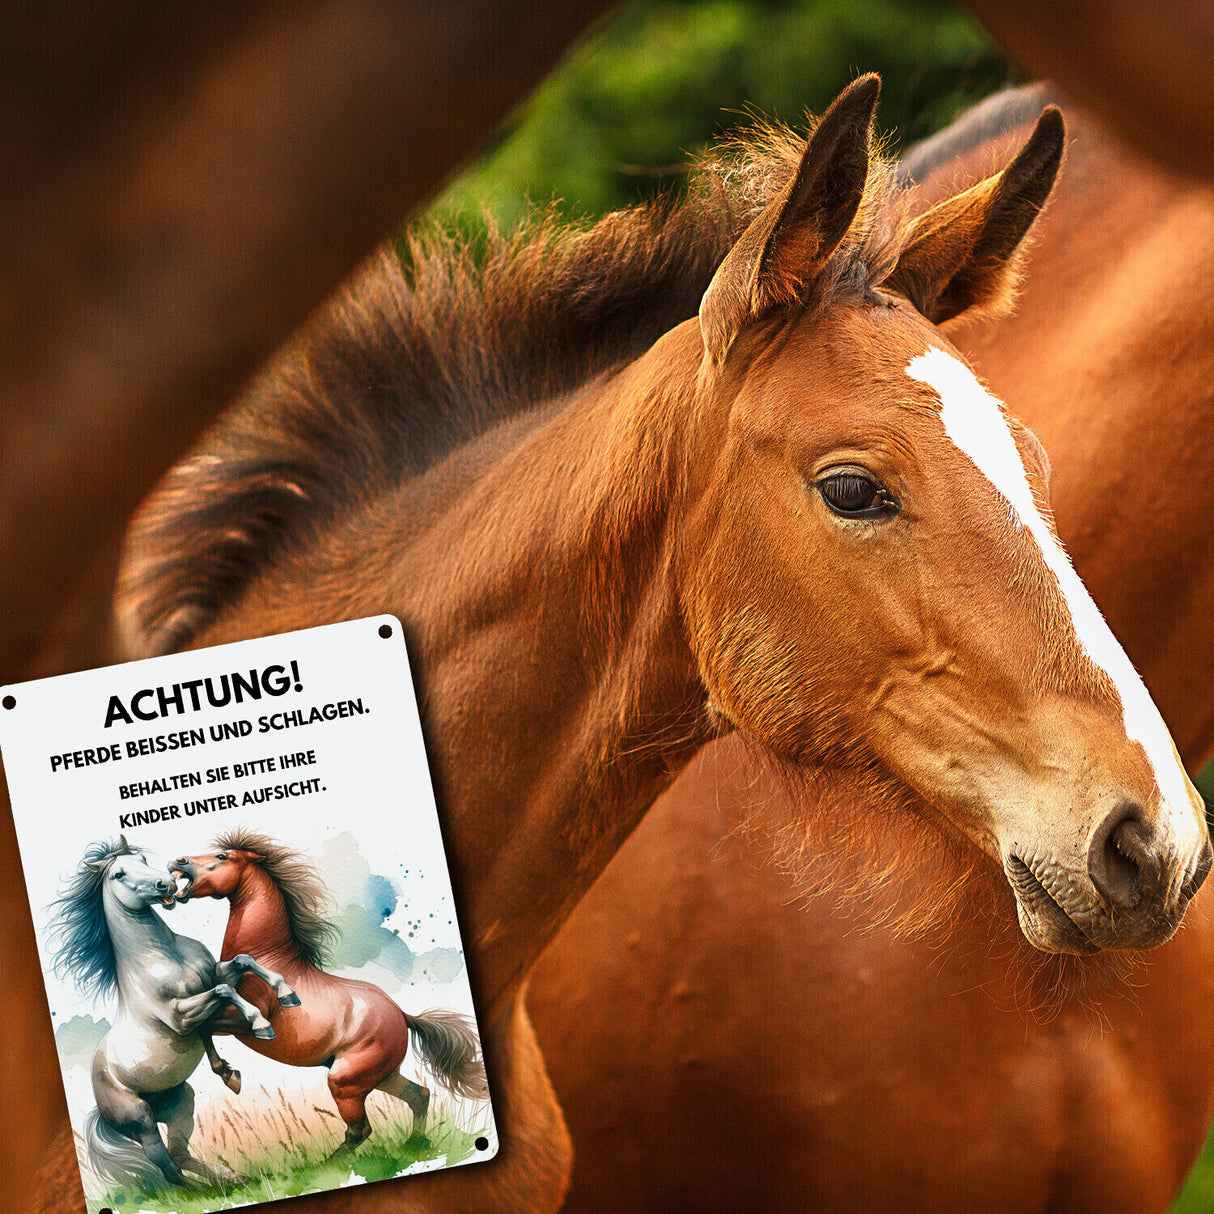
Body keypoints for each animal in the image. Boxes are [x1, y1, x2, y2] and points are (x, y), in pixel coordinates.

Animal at [49, 836, 300, 1192]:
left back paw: (233, 1177)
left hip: (181, 1103)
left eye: (142, 859)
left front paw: (287, 994)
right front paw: (261, 1024)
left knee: (180, 1154)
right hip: (142, 1121)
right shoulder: (180, 1016)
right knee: (168, 1168)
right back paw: (204, 1192)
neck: (163, 955)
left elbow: (244, 960)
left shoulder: (215, 975)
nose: (164, 883)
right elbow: (225, 993)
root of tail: (100, 1106)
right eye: (119, 874)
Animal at [168, 827, 489, 1151]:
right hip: (382, 1077)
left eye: (222, 856)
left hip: (346, 1082)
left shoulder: (237, 1020)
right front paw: (230, 1075)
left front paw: (239, 1063)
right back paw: (415, 1144)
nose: (177, 861)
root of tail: (403, 1016)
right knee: (418, 1095)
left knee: (359, 1130)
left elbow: (208, 1022)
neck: (269, 955)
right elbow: (205, 1021)